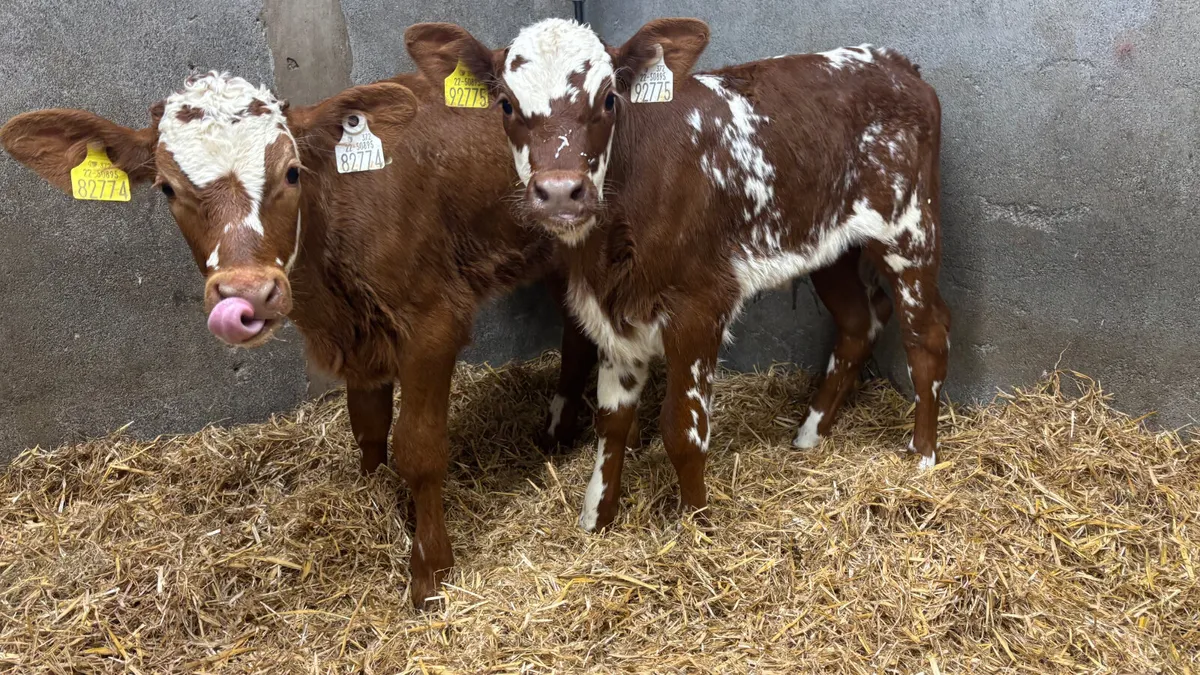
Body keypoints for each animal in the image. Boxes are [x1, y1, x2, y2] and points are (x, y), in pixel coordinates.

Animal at [1, 71, 599, 607]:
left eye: (291, 173)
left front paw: (430, 572)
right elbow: (368, 429)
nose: (248, 292)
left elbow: (420, 449)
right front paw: (374, 501)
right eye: (168, 188)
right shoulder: (356, 335)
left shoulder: (433, 322)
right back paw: (557, 430)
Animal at [405, 18, 950, 533]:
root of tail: (894, 61)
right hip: (828, 243)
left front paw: (696, 523)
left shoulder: (699, 304)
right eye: (506, 104)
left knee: (927, 334)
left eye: (609, 98)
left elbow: (683, 429)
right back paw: (810, 435)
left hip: (910, 229)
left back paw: (923, 454)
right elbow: (612, 420)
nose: (560, 191)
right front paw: (596, 519)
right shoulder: (615, 315)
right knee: (859, 322)